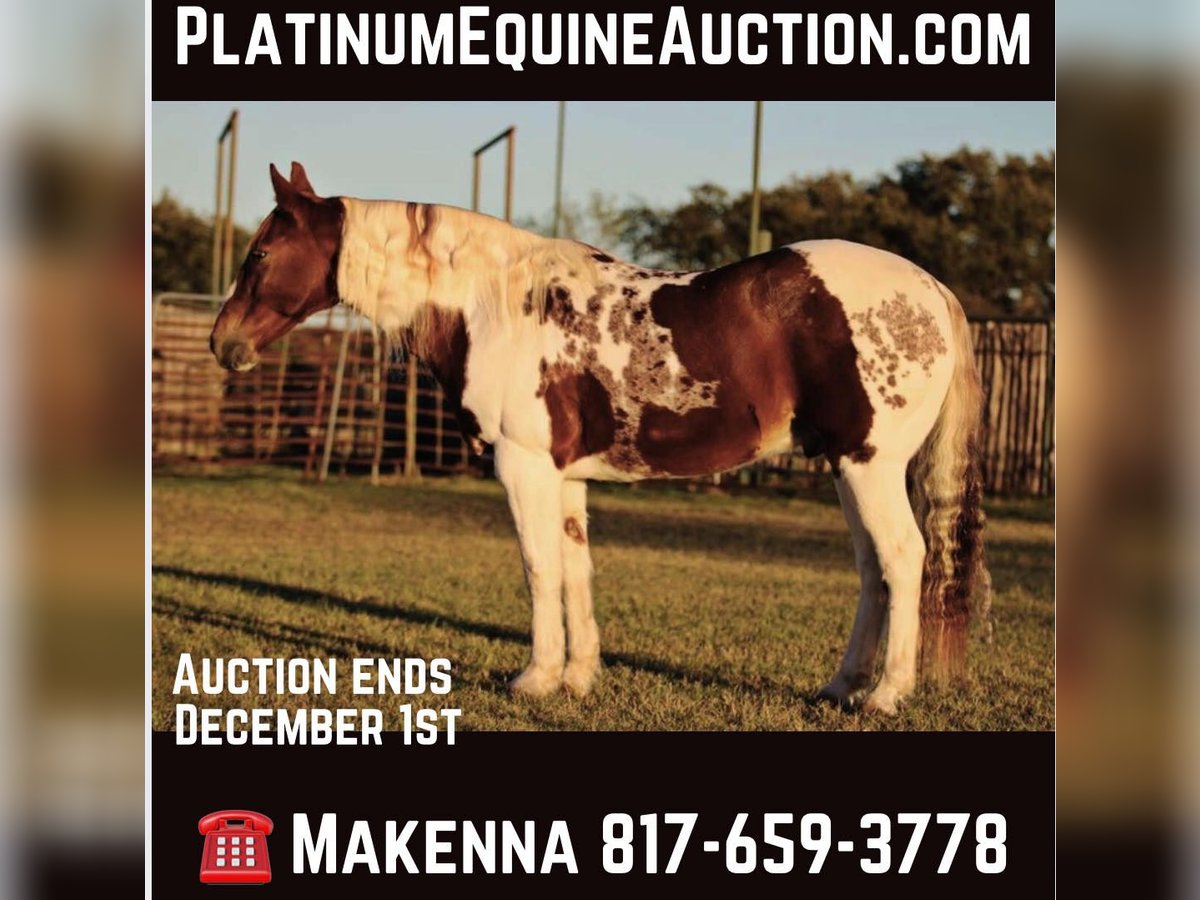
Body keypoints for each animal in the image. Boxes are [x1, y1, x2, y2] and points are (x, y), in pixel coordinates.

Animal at [211, 162, 988, 715]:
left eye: (262, 252)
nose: (224, 343)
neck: (494, 306)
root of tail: (932, 289)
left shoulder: (523, 466)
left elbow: (538, 568)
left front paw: (535, 677)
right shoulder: (566, 476)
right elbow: (575, 568)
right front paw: (579, 677)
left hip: (869, 465)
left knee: (902, 558)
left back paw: (885, 694)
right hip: (846, 466)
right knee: (872, 569)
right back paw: (841, 687)